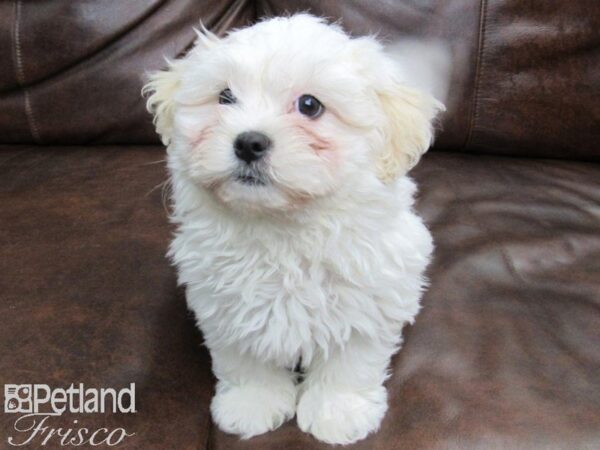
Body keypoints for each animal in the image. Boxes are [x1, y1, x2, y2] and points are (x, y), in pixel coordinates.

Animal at [145, 14, 442, 446]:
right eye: (225, 97)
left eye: (309, 105)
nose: (248, 142)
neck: (283, 228)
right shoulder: (226, 303)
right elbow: (245, 358)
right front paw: (252, 404)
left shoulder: (368, 299)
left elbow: (351, 360)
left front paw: (338, 412)